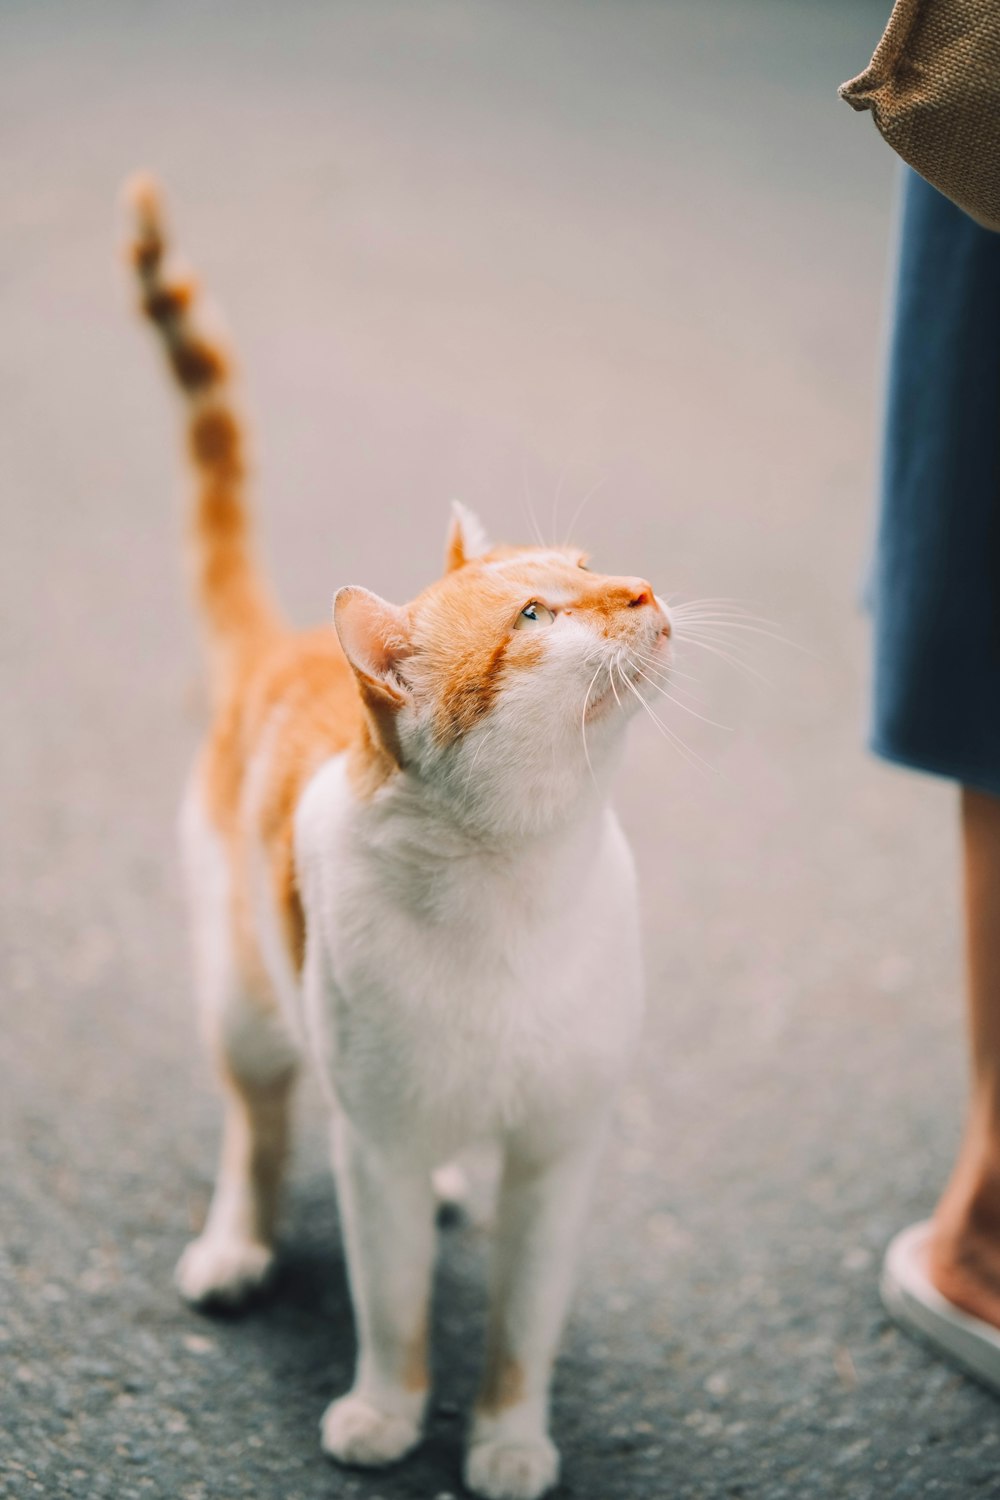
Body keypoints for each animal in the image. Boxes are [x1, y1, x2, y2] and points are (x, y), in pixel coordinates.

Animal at [125, 178, 671, 1500]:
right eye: (533, 616)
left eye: (592, 568)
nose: (642, 590)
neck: (519, 875)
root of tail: (281, 647)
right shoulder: (372, 1141)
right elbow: (393, 1307)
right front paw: (387, 1413)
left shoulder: (557, 1157)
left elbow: (523, 1326)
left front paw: (510, 1441)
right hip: (243, 1000)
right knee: (255, 1129)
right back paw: (235, 1243)